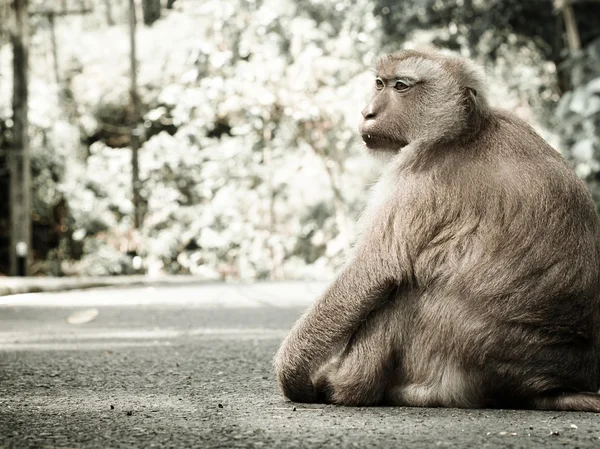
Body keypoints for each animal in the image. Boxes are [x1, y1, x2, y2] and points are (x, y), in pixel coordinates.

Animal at [274, 48, 600, 410]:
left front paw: (292, 372)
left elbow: (375, 271)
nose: (367, 112)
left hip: (456, 361)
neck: (466, 129)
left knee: (404, 293)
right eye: (379, 83)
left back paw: (347, 387)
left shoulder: (419, 171)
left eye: (401, 86)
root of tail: (543, 386)